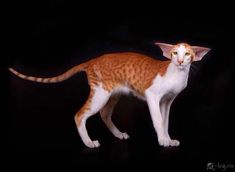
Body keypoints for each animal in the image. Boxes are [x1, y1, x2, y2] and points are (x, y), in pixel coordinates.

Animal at [9, 42, 211, 148]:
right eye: (175, 53)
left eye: (188, 54)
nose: (179, 61)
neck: (176, 73)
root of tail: (92, 61)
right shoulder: (152, 95)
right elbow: (158, 120)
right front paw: (162, 140)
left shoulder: (167, 101)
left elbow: (165, 120)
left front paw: (169, 139)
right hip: (100, 94)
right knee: (79, 115)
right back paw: (89, 143)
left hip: (112, 94)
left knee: (104, 114)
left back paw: (118, 134)